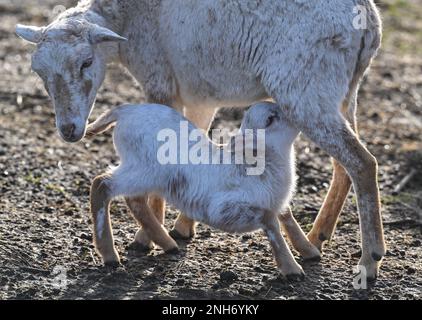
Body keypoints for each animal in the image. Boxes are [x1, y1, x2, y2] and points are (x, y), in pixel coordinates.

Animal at [87, 102, 322, 278]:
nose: (297, 116)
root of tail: (125, 112)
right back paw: (110, 255)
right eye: (271, 119)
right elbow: (270, 222)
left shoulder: (276, 202)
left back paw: (168, 244)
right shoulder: (228, 207)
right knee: (102, 184)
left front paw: (310, 252)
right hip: (143, 169)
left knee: (134, 200)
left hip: (146, 176)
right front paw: (292, 269)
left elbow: (286, 216)